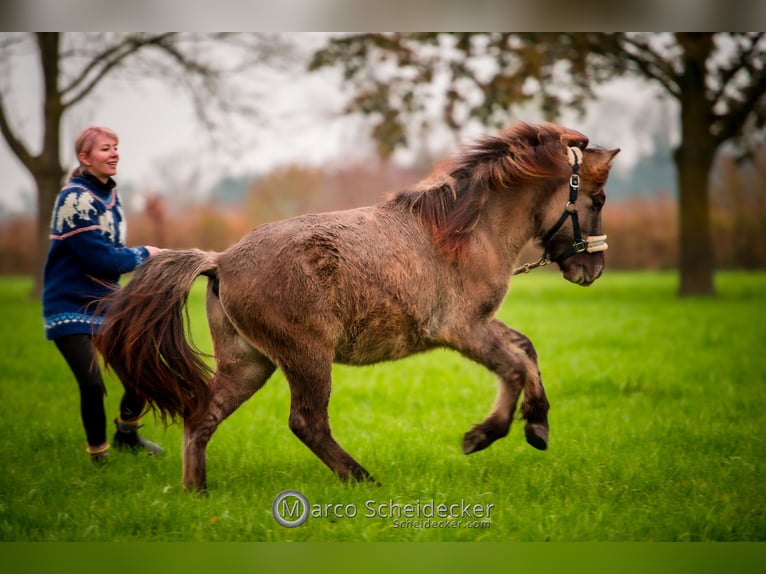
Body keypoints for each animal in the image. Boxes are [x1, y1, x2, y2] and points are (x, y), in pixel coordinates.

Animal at [94, 122, 616, 496]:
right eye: (598, 198)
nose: (593, 269)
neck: (464, 231)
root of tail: (220, 260)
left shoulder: (481, 325)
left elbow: (526, 351)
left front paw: (539, 424)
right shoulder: (462, 329)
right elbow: (513, 366)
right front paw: (483, 435)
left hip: (249, 363)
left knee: (202, 416)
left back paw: (197, 493)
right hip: (306, 358)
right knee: (306, 422)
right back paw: (362, 479)